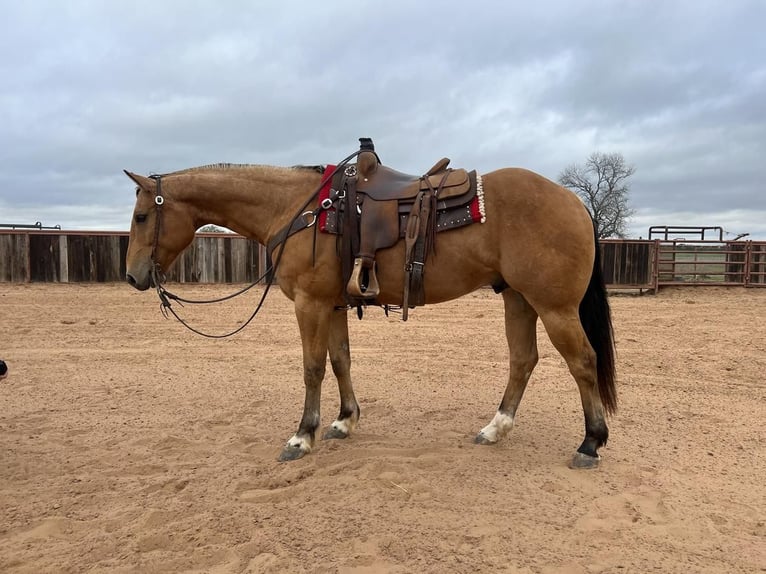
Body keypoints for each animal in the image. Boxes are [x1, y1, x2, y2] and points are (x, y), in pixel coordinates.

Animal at [124, 150, 616, 469]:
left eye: (142, 217)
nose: (132, 276)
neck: (299, 209)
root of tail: (574, 200)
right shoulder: (334, 305)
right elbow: (340, 360)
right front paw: (344, 421)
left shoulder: (310, 304)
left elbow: (312, 368)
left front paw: (302, 436)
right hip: (518, 299)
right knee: (523, 361)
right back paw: (495, 428)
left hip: (554, 307)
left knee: (583, 362)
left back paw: (590, 443)